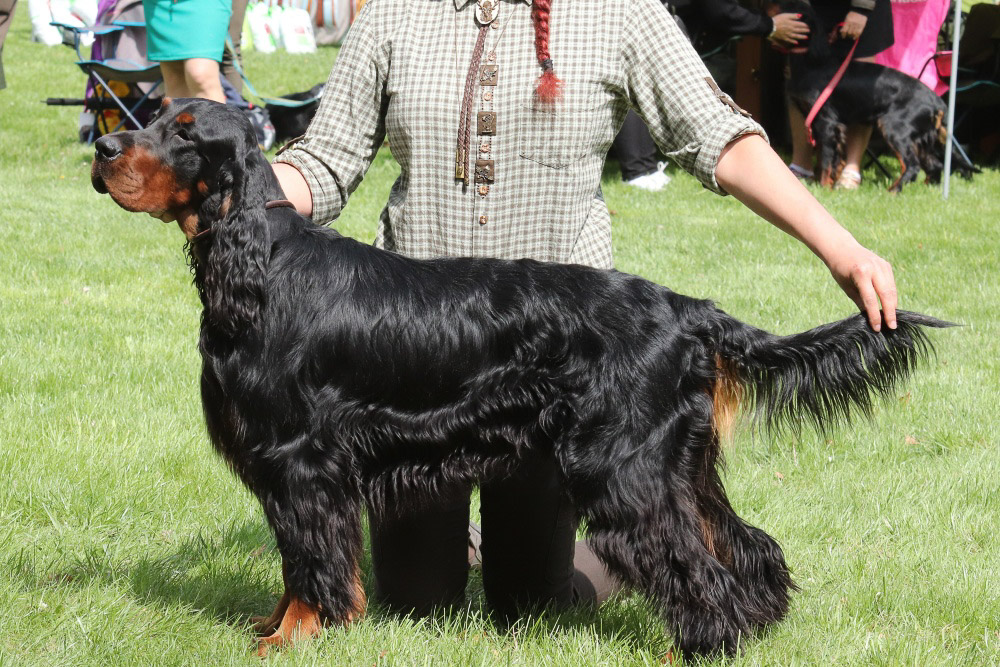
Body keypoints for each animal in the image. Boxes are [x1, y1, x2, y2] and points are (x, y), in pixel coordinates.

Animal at [94, 98, 952, 656]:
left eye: (184, 134)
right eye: (151, 116)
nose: (104, 152)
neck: (262, 262)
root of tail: (685, 309)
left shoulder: (301, 460)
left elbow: (310, 561)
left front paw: (293, 636)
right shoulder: (298, 465)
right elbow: (297, 563)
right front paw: (280, 627)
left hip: (626, 469)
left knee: (693, 565)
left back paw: (704, 644)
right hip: (678, 463)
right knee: (744, 545)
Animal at [780, 0, 976, 190]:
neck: (813, 62)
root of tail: (937, 101)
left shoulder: (827, 122)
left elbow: (827, 159)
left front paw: (823, 188)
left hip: (895, 127)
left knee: (912, 165)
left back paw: (893, 192)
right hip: (922, 136)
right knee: (935, 165)